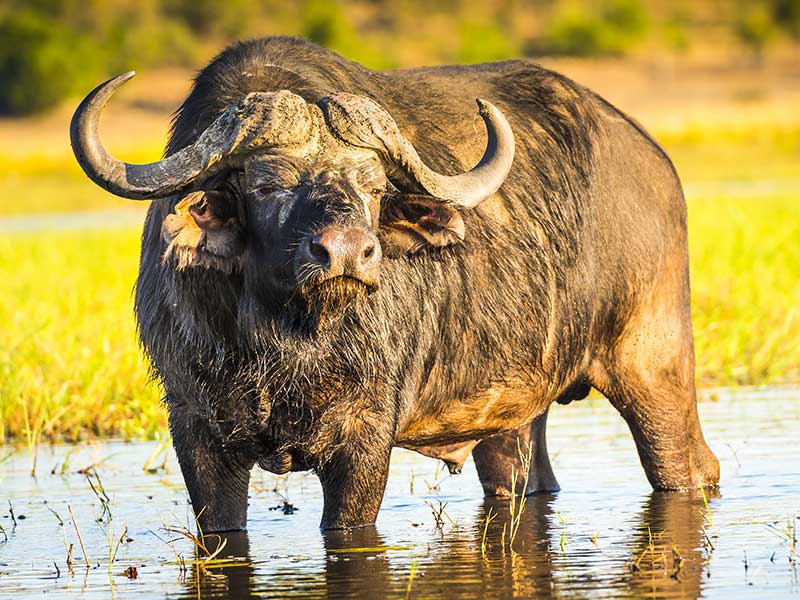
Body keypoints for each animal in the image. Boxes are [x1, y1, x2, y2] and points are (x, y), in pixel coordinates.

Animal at [71, 36, 719, 532]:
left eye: (375, 186)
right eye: (266, 184)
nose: (346, 253)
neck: (284, 340)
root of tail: (651, 157)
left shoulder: (363, 440)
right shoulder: (197, 433)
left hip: (655, 368)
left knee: (691, 467)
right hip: (514, 415)